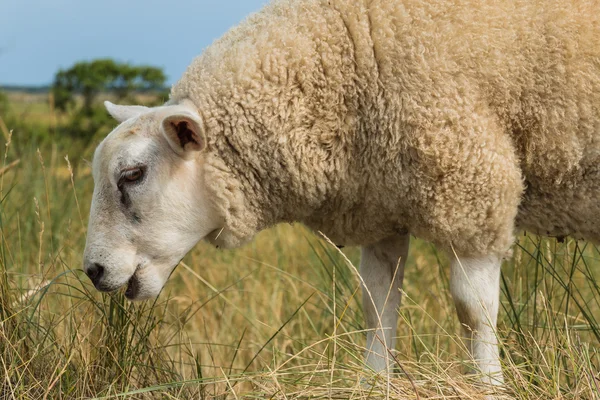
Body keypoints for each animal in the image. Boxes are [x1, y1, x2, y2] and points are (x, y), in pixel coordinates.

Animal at [82, 0, 600, 386]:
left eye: (133, 175)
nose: (94, 270)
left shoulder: (474, 190)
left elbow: (474, 310)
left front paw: (488, 385)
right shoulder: (384, 206)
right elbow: (377, 306)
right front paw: (374, 383)